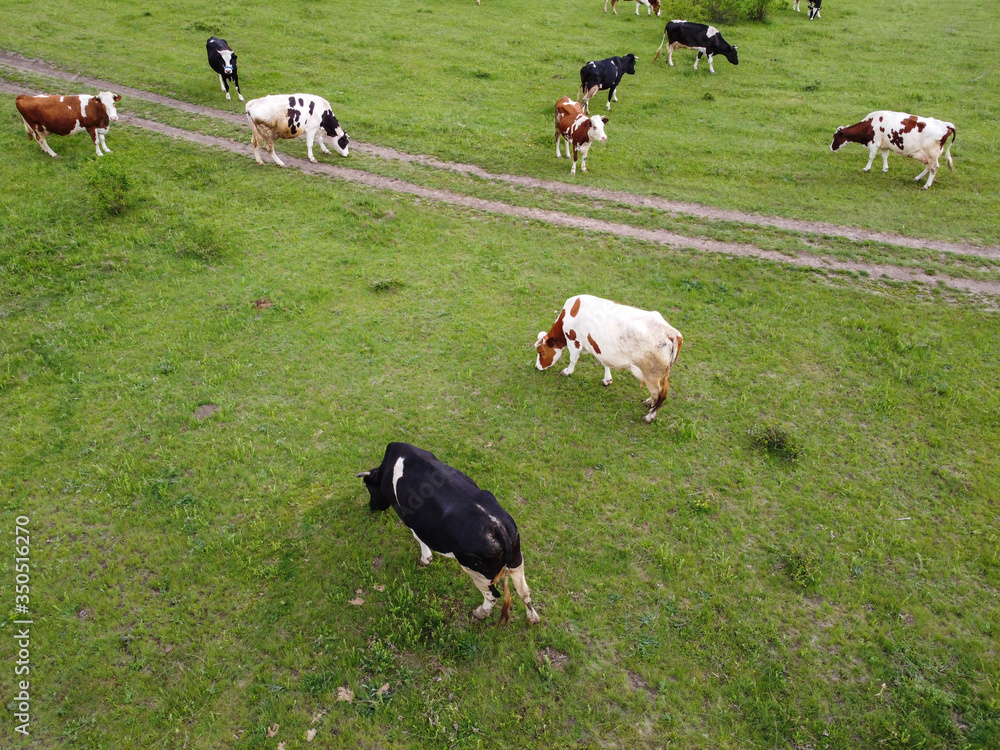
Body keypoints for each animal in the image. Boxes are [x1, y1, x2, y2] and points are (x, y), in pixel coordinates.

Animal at [356, 443, 541, 625]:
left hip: (476, 570)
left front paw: (426, 558)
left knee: (492, 596)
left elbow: (418, 535)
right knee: (524, 591)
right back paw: (533, 618)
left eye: (369, 487)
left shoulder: (406, 514)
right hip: (517, 559)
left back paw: (480, 613)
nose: (372, 506)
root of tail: (498, 527)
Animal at [534, 295, 683, 423]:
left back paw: (649, 417)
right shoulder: (601, 347)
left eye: (540, 351)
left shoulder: (574, 341)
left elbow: (573, 358)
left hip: (652, 376)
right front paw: (607, 379)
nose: (537, 367)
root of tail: (672, 334)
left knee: (658, 395)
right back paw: (649, 402)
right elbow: (604, 362)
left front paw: (567, 371)